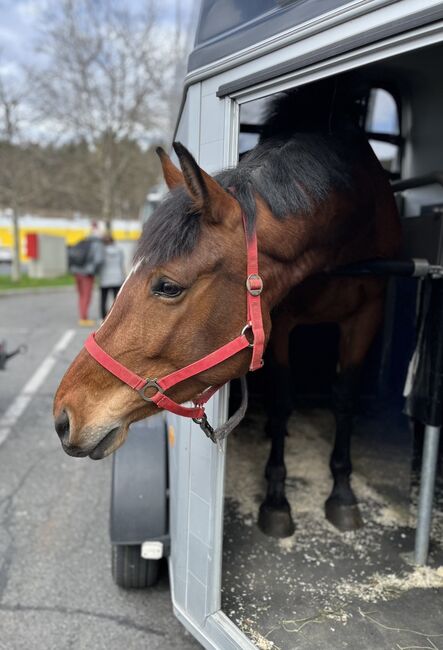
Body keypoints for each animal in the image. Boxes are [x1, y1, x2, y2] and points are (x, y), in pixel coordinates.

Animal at [53, 86, 402, 540]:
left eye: (168, 286)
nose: (64, 417)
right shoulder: (281, 322)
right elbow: (283, 400)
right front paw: (276, 501)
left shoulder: (367, 314)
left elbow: (343, 398)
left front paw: (342, 493)